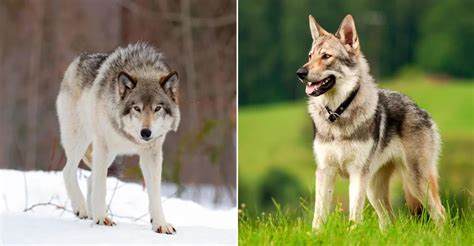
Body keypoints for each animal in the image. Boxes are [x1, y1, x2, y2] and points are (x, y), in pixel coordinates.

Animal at [57, 42, 180, 234]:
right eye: (136, 108)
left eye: (157, 108)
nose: (146, 133)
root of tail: (78, 59)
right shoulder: (102, 145)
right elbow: (101, 187)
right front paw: (102, 218)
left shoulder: (152, 155)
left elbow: (155, 193)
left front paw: (160, 224)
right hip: (82, 141)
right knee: (68, 171)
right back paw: (82, 209)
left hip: (109, 155)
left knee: (91, 178)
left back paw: (91, 212)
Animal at [298, 14, 446, 231]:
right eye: (310, 56)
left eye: (326, 56)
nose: (300, 72)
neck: (338, 114)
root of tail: (419, 107)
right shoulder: (325, 172)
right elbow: (318, 216)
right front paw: (316, 235)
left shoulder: (357, 173)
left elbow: (354, 216)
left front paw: (352, 235)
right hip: (374, 190)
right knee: (389, 221)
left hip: (415, 182)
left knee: (440, 213)